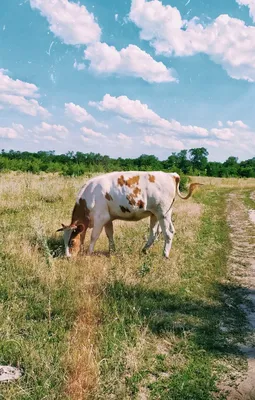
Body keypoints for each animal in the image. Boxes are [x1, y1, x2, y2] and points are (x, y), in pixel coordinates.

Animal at [56, 170, 201, 258]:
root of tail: (171, 175)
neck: (89, 196)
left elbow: (93, 236)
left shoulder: (100, 218)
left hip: (164, 213)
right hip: (155, 214)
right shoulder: (108, 218)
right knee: (154, 232)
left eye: (72, 242)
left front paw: (89, 252)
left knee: (169, 232)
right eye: (64, 240)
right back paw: (144, 250)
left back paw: (165, 255)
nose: (67, 257)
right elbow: (110, 234)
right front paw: (112, 250)